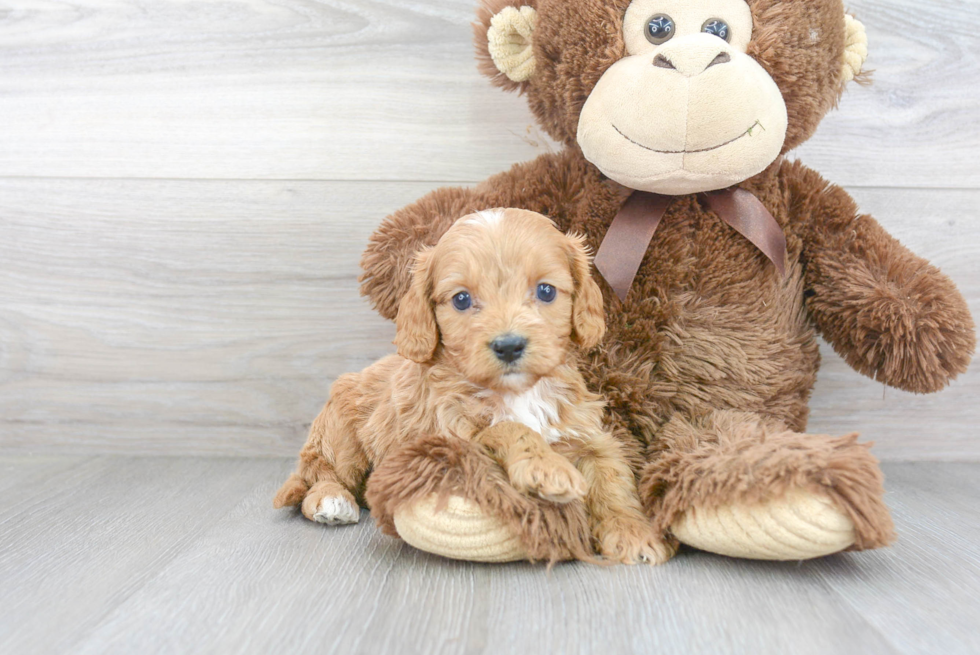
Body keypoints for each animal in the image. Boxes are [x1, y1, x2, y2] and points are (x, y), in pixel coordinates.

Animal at [276, 209, 672, 564]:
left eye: (545, 291)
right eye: (462, 299)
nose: (509, 345)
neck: (518, 393)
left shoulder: (586, 432)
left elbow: (613, 479)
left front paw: (633, 534)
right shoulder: (453, 436)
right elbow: (509, 429)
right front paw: (546, 467)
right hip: (340, 435)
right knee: (320, 474)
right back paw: (332, 501)